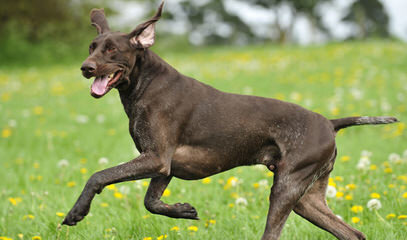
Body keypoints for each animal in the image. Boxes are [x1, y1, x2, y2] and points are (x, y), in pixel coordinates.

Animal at [63, 2, 398, 240]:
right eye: (92, 48)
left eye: (112, 50)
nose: (85, 68)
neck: (145, 84)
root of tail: (329, 122)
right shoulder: (164, 165)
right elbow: (151, 202)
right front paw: (184, 211)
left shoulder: (156, 159)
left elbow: (99, 176)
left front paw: (76, 212)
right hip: (306, 198)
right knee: (353, 234)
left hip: (285, 188)